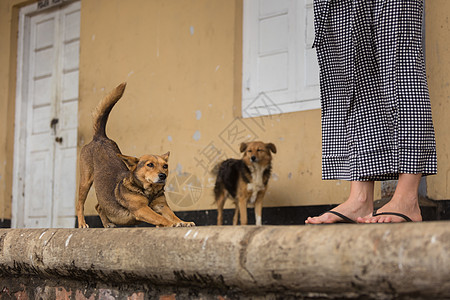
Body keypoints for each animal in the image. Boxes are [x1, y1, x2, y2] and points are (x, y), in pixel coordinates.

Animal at [76, 82, 195, 227]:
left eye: (165, 166)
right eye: (150, 165)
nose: (163, 176)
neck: (149, 191)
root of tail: (100, 137)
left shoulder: (162, 206)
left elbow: (173, 215)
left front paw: (183, 222)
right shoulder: (141, 209)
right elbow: (160, 218)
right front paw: (170, 224)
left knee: (98, 206)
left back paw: (107, 224)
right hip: (85, 181)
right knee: (80, 204)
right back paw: (82, 223)